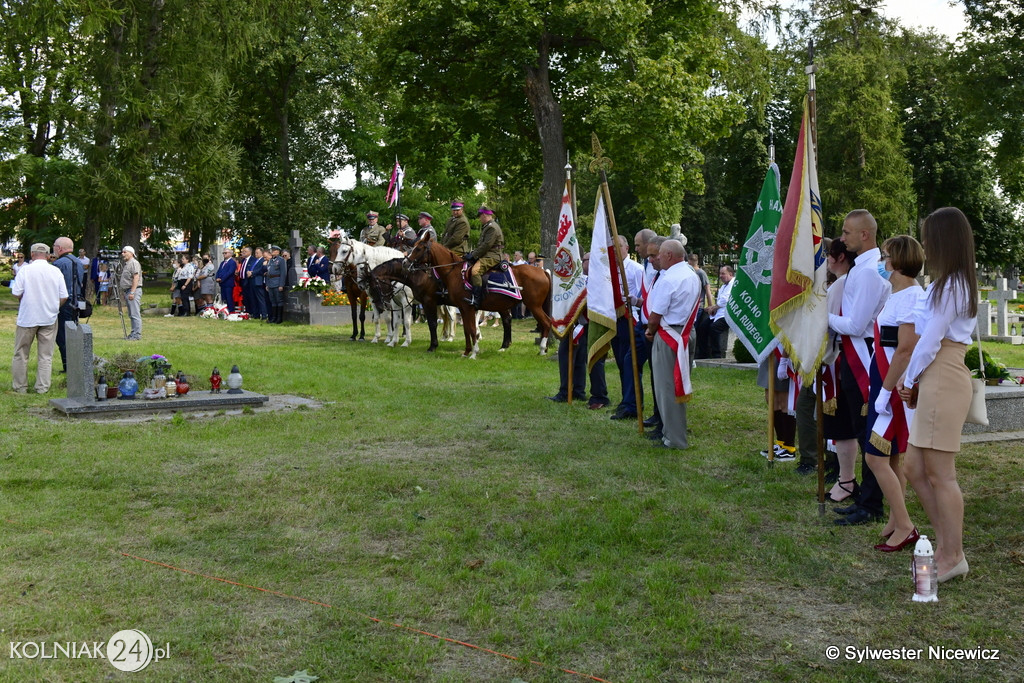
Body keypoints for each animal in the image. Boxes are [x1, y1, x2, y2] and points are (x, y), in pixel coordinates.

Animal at [405, 233, 552, 360]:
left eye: (418, 248)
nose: (406, 263)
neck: (455, 273)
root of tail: (543, 271)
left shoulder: (463, 307)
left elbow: (470, 328)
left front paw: (474, 353)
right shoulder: (463, 308)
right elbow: (467, 329)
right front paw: (466, 352)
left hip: (534, 306)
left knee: (546, 322)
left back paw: (542, 349)